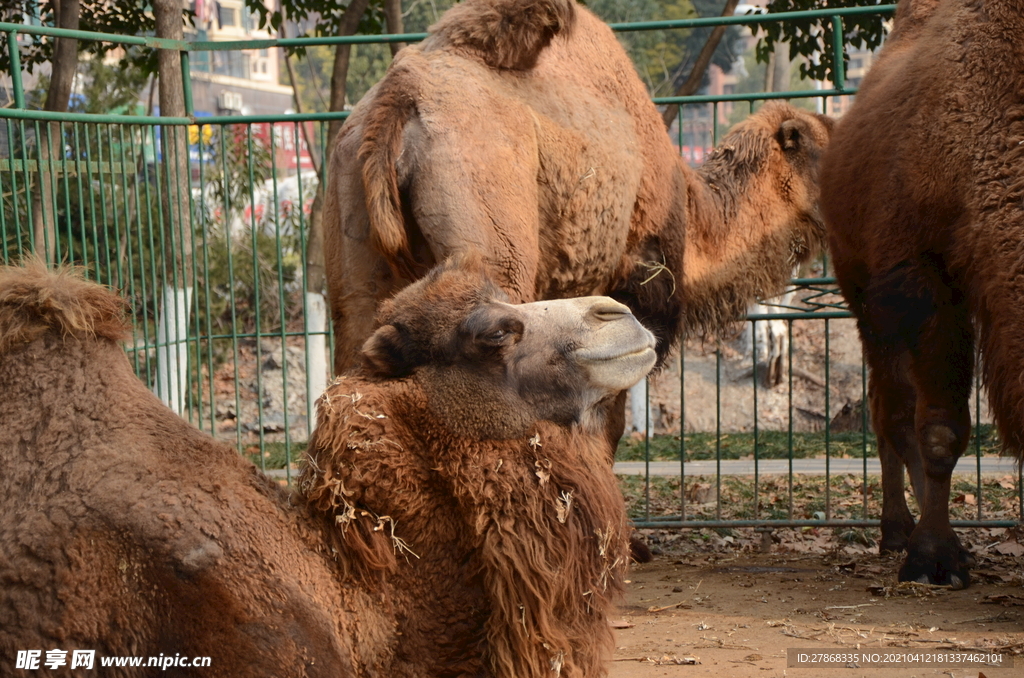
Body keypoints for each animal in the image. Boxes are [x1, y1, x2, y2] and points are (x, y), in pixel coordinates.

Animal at [823, 0, 1024, 589]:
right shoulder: (920, 276)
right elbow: (940, 430)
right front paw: (933, 557)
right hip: (861, 292)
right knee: (888, 409)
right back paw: (896, 533)